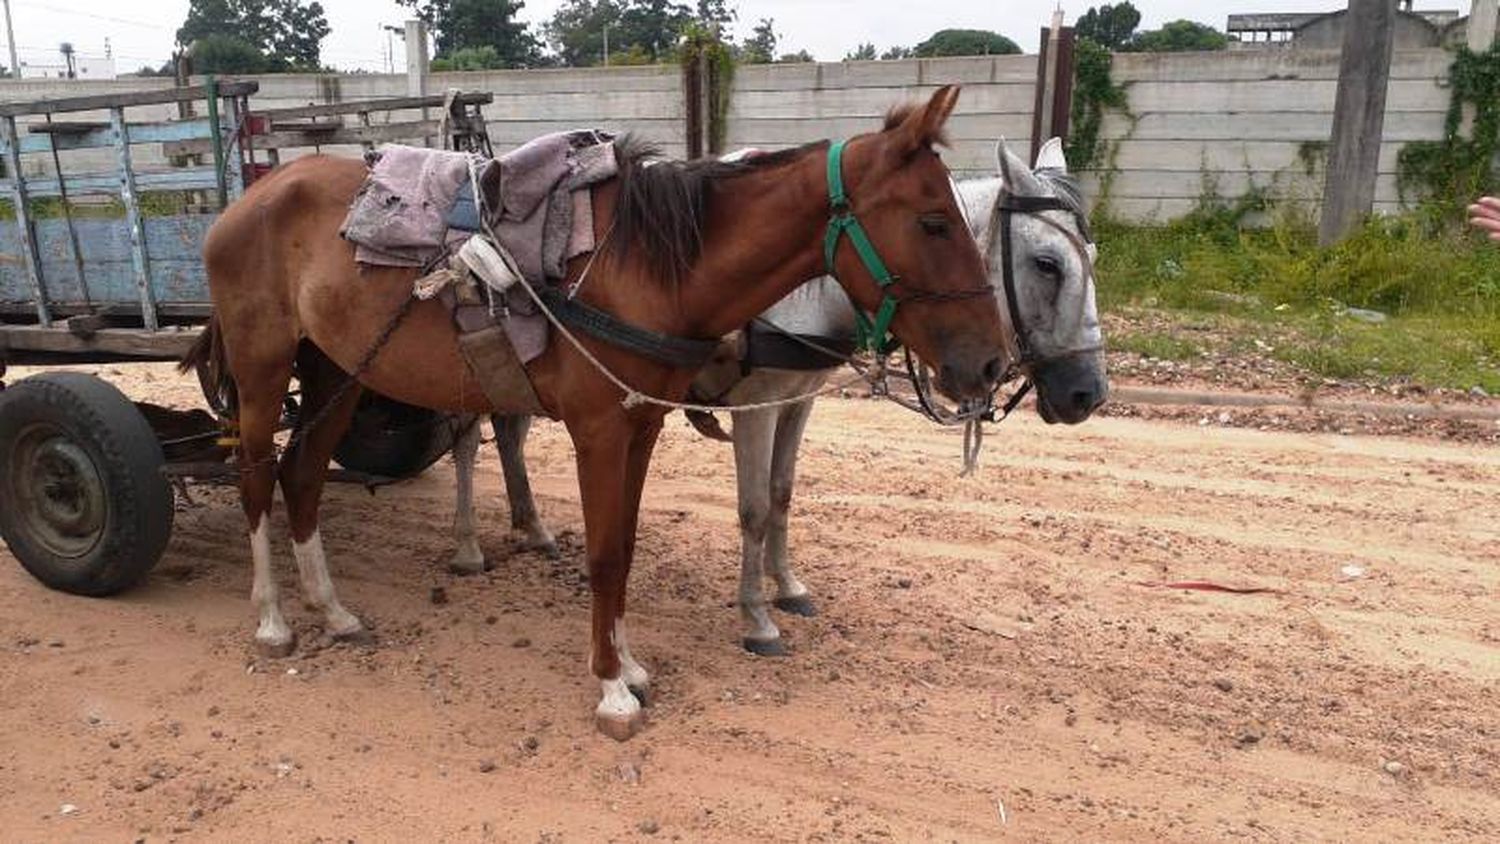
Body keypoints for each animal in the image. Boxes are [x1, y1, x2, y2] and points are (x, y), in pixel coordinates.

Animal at [190, 85, 1008, 740]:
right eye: (934, 221)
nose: (992, 365)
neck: (650, 266)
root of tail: (250, 198)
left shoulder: (639, 426)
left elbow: (626, 547)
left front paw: (630, 666)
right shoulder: (598, 432)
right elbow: (606, 555)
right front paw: (612, 689)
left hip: (338, 370)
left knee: (302, 479)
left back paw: (333, 612)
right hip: (264, 370)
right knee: (256, 478)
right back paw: (273, 620)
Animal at [441, 137, 1104, 653]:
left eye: (1091, 256)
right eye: (1047, 264)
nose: (1087, 393)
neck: (811, 285)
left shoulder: (798, 399)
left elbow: (783, 495)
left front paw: (788, 588)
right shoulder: (756, 403)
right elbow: (755, 508)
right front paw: (756, 617)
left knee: (509, 436)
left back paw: (533, 527)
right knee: (467, 446)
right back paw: (468, 543)